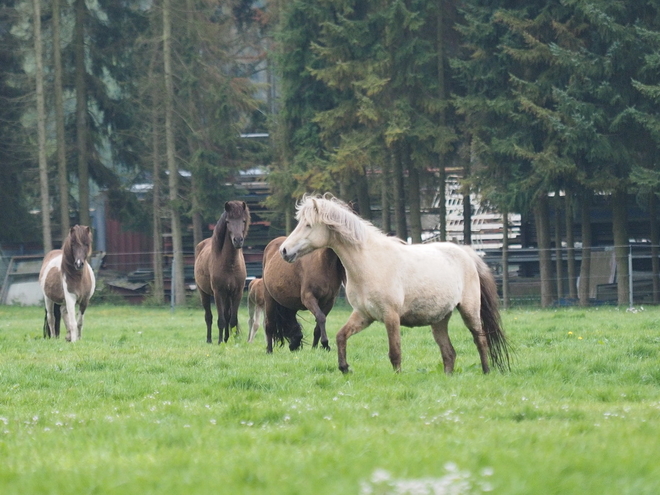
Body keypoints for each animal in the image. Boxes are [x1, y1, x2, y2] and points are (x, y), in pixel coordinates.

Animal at [195, 200, 251, 342]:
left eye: (243, 220)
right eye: (228, 221)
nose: (238, 240)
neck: (230, 264)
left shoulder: (237, 293)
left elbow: (232, 319)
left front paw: (232, 341)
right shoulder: (218, 293)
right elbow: (221, 320)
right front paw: (220, 341)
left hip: (227, 296)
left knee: (227, 315)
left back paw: (226, 338)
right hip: (204, 293)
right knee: (208, 317)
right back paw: (209, 340)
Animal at [278, 196, 510, 374]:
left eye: (308, 225)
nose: (284, 251)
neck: (369, 263)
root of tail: (467, 253)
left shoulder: (391, 316)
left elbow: (395, 353)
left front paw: (397, 377)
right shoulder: (364, 315)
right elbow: (340, 336)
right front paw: (344, 368)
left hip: (470, 311)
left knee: (480, 341)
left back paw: (486, 372)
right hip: (439, 320)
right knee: (449, 353)